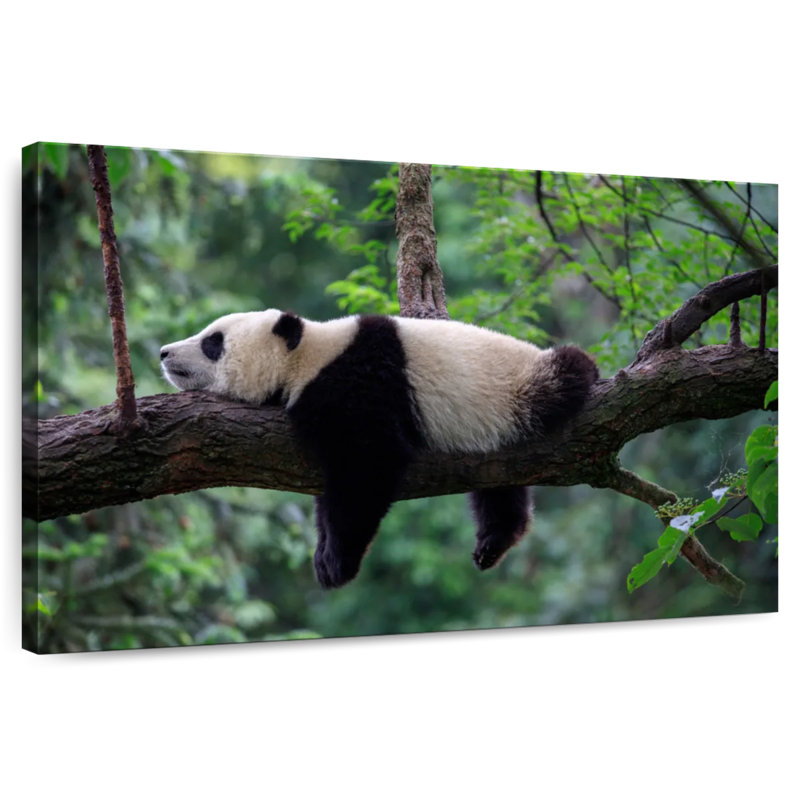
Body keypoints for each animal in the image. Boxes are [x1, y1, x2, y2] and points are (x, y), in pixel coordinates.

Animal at [160, 310, 598, 588]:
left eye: (213, 342)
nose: (164, 352)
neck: (307, 356)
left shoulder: (359, 383)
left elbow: (368, 467)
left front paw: (336, 563)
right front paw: (322, 553)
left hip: (521, 391)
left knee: (567, 374)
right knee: (500, 484)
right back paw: (495, 540)